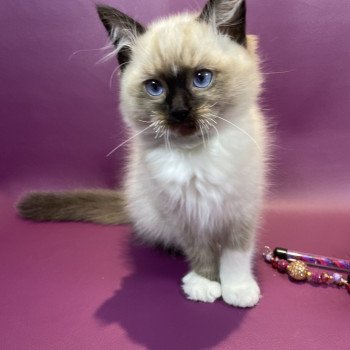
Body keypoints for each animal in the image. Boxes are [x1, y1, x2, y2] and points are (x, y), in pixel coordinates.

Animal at [18, 0, 268, 306]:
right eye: (154, 88)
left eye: (201, 78)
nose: (179, 111)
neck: (196, 152)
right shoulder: (184, 214)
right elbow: (200, 250)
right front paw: (205, 283)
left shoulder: (241, 209)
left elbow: (236, 253)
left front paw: (237, 289)